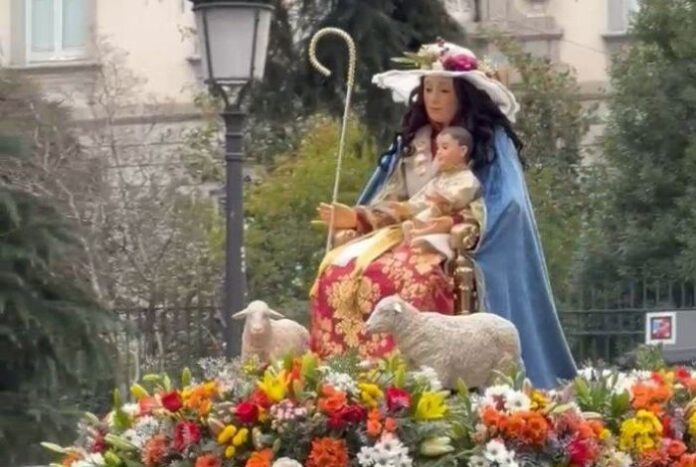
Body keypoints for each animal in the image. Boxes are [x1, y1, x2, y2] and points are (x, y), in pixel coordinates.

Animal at [364, 296, 520, 392]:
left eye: (383, 312)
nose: (367, 326)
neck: (415, 326)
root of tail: (512, 326)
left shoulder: (437, 368)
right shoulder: (415, 367)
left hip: (502, 368)